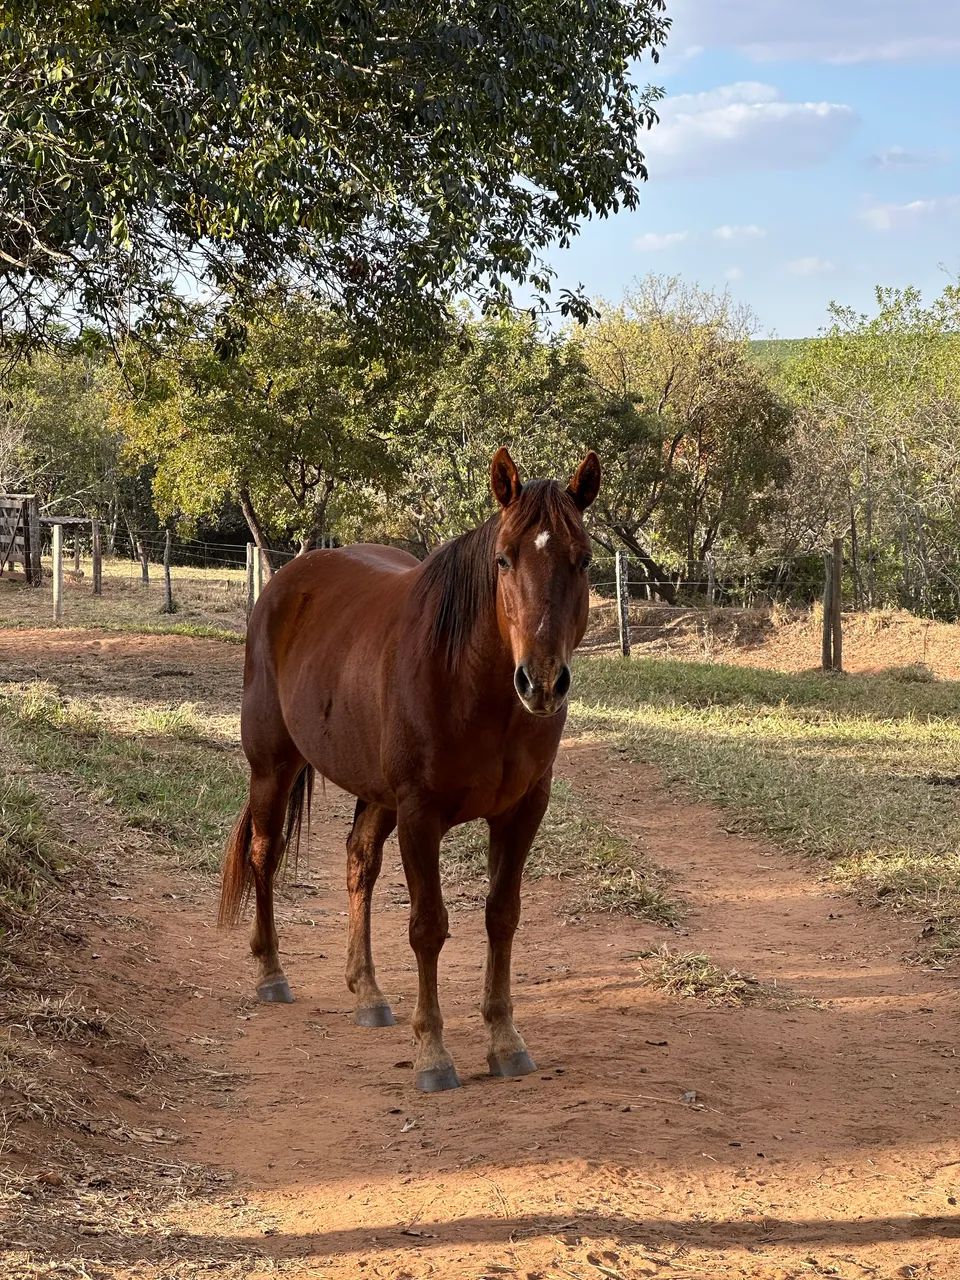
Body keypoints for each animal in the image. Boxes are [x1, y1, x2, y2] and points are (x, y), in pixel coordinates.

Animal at [219, 446, 601, 1092]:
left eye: (584, 559)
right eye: (503, 558)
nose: (542, 682)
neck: (470, 684)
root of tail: (283, 584)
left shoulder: (522, 811)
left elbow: (502, 917)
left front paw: (505, 1041)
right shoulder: (421, 813)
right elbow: (428, 925)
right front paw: (434, 1054)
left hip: (376, 794)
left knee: (358, 865)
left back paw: (367, 993)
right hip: (274, 766)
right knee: (264, 855)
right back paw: (271, 974)